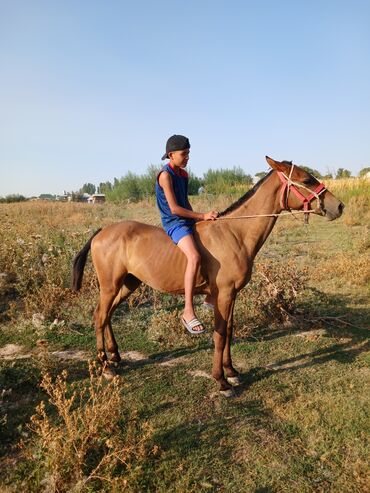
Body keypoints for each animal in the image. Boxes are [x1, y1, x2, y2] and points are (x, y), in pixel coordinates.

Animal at [72, 158, 344, 396]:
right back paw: (105, 366)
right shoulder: (222, 294)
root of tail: (101, 232)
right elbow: (220, 334)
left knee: (108, 315)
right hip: (110, 285)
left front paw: (231, 371)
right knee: (100, 316)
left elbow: (230, 330)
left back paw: (115, 356)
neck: (235, 234)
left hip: (128, 284)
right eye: (307, 179)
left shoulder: (232, 295)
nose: (339, 206)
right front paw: (221, 381)